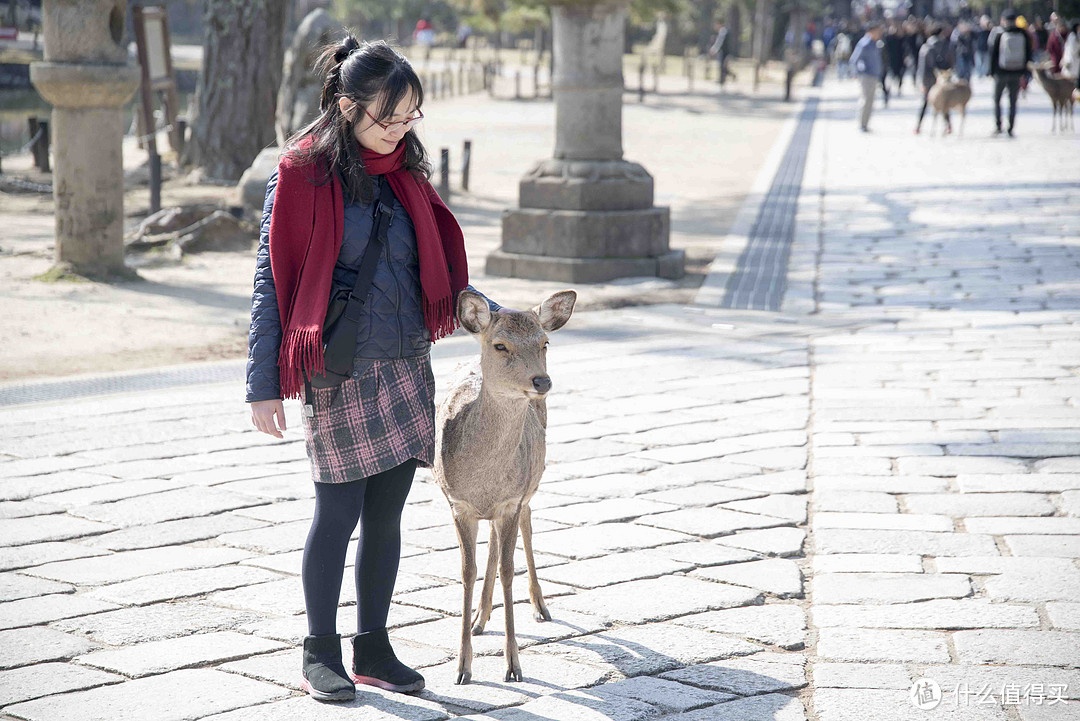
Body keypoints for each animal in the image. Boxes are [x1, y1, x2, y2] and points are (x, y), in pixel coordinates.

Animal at [434, 284, 578, 686]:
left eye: (545, 343)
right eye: (500, 346)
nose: (541, 382)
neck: (484, 479)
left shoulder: (511, 500)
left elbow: (508, 571)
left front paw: (513, 665)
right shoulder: (458, 504)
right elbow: (467, 571)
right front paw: (462, 667)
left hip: (531, 481)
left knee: (525, 527)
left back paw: (540, 606)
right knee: (494, 544)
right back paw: (480, 619)